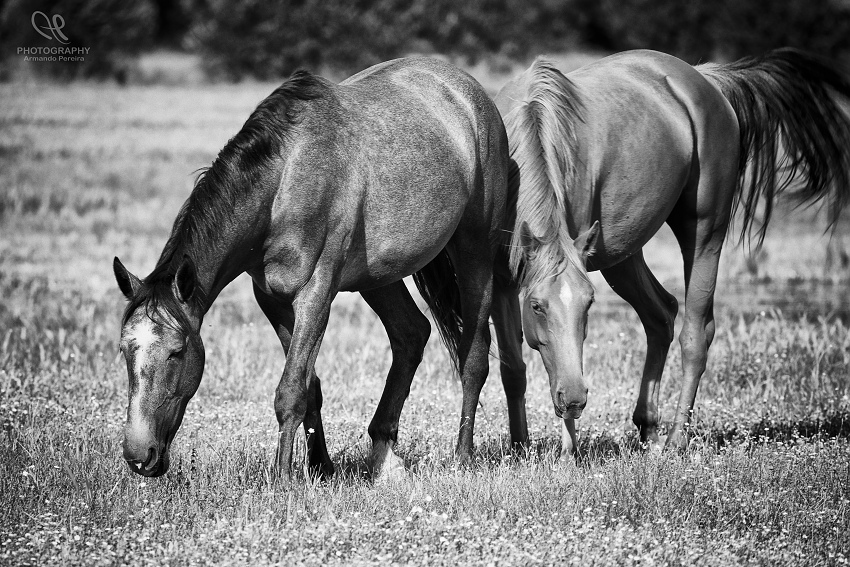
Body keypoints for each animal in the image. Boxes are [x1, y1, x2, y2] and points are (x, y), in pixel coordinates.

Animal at [110, 57, 528, 482]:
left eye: (177, 352)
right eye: (124, 350)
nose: (139, 456)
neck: (283, 182)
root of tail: (470, 94)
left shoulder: (315, 294)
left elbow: (291, 390)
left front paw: (282, 478)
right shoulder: (272, 299)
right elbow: (310, 386)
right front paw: (320, 467)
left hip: (475, 251)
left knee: (474, 356)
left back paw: (462, 457)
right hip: (378, 278)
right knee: (411, 335)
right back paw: (384, 454)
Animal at [490, 47, 848, 458]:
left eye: (589, 304)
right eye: (536, 306)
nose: (576, 399)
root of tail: (704, 78)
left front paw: (568, 455)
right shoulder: (499, 277)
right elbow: (512, 366)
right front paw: (519, 447)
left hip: (704, 232)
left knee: (695, 333)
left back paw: (677, 438)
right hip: (622, 255)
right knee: (661, 314)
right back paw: (647, 426)